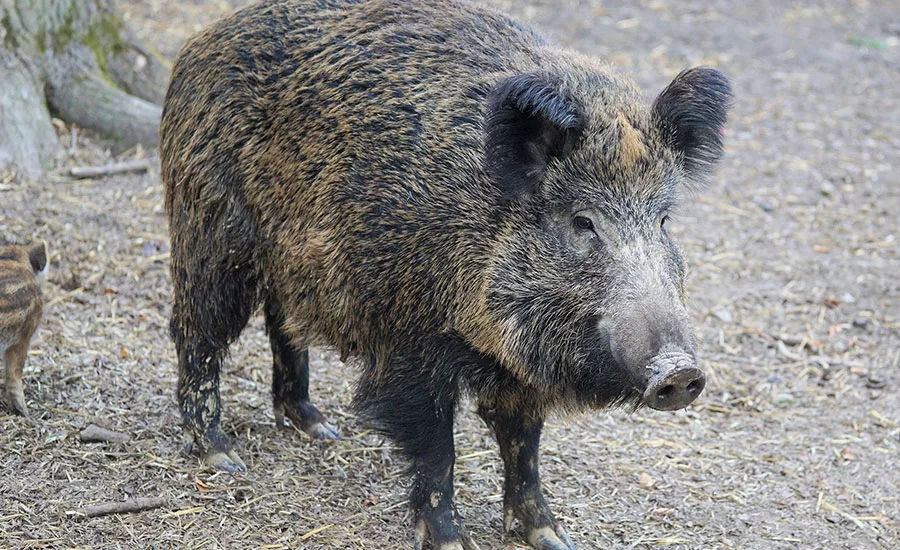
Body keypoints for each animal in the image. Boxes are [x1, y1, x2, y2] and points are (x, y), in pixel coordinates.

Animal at [160, 0, 732, 548]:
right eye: (582, 221)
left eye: (663, 220)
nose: (680, 372)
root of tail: (200, 42)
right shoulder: (408, 342)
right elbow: (439, 450)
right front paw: (451, 541)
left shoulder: (516, 369)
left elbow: (524, 444)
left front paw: (552, 537)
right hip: (211, 235)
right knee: (196, 334)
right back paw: (222, 456)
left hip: (291, 263)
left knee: (283, 324)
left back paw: (320, 429)